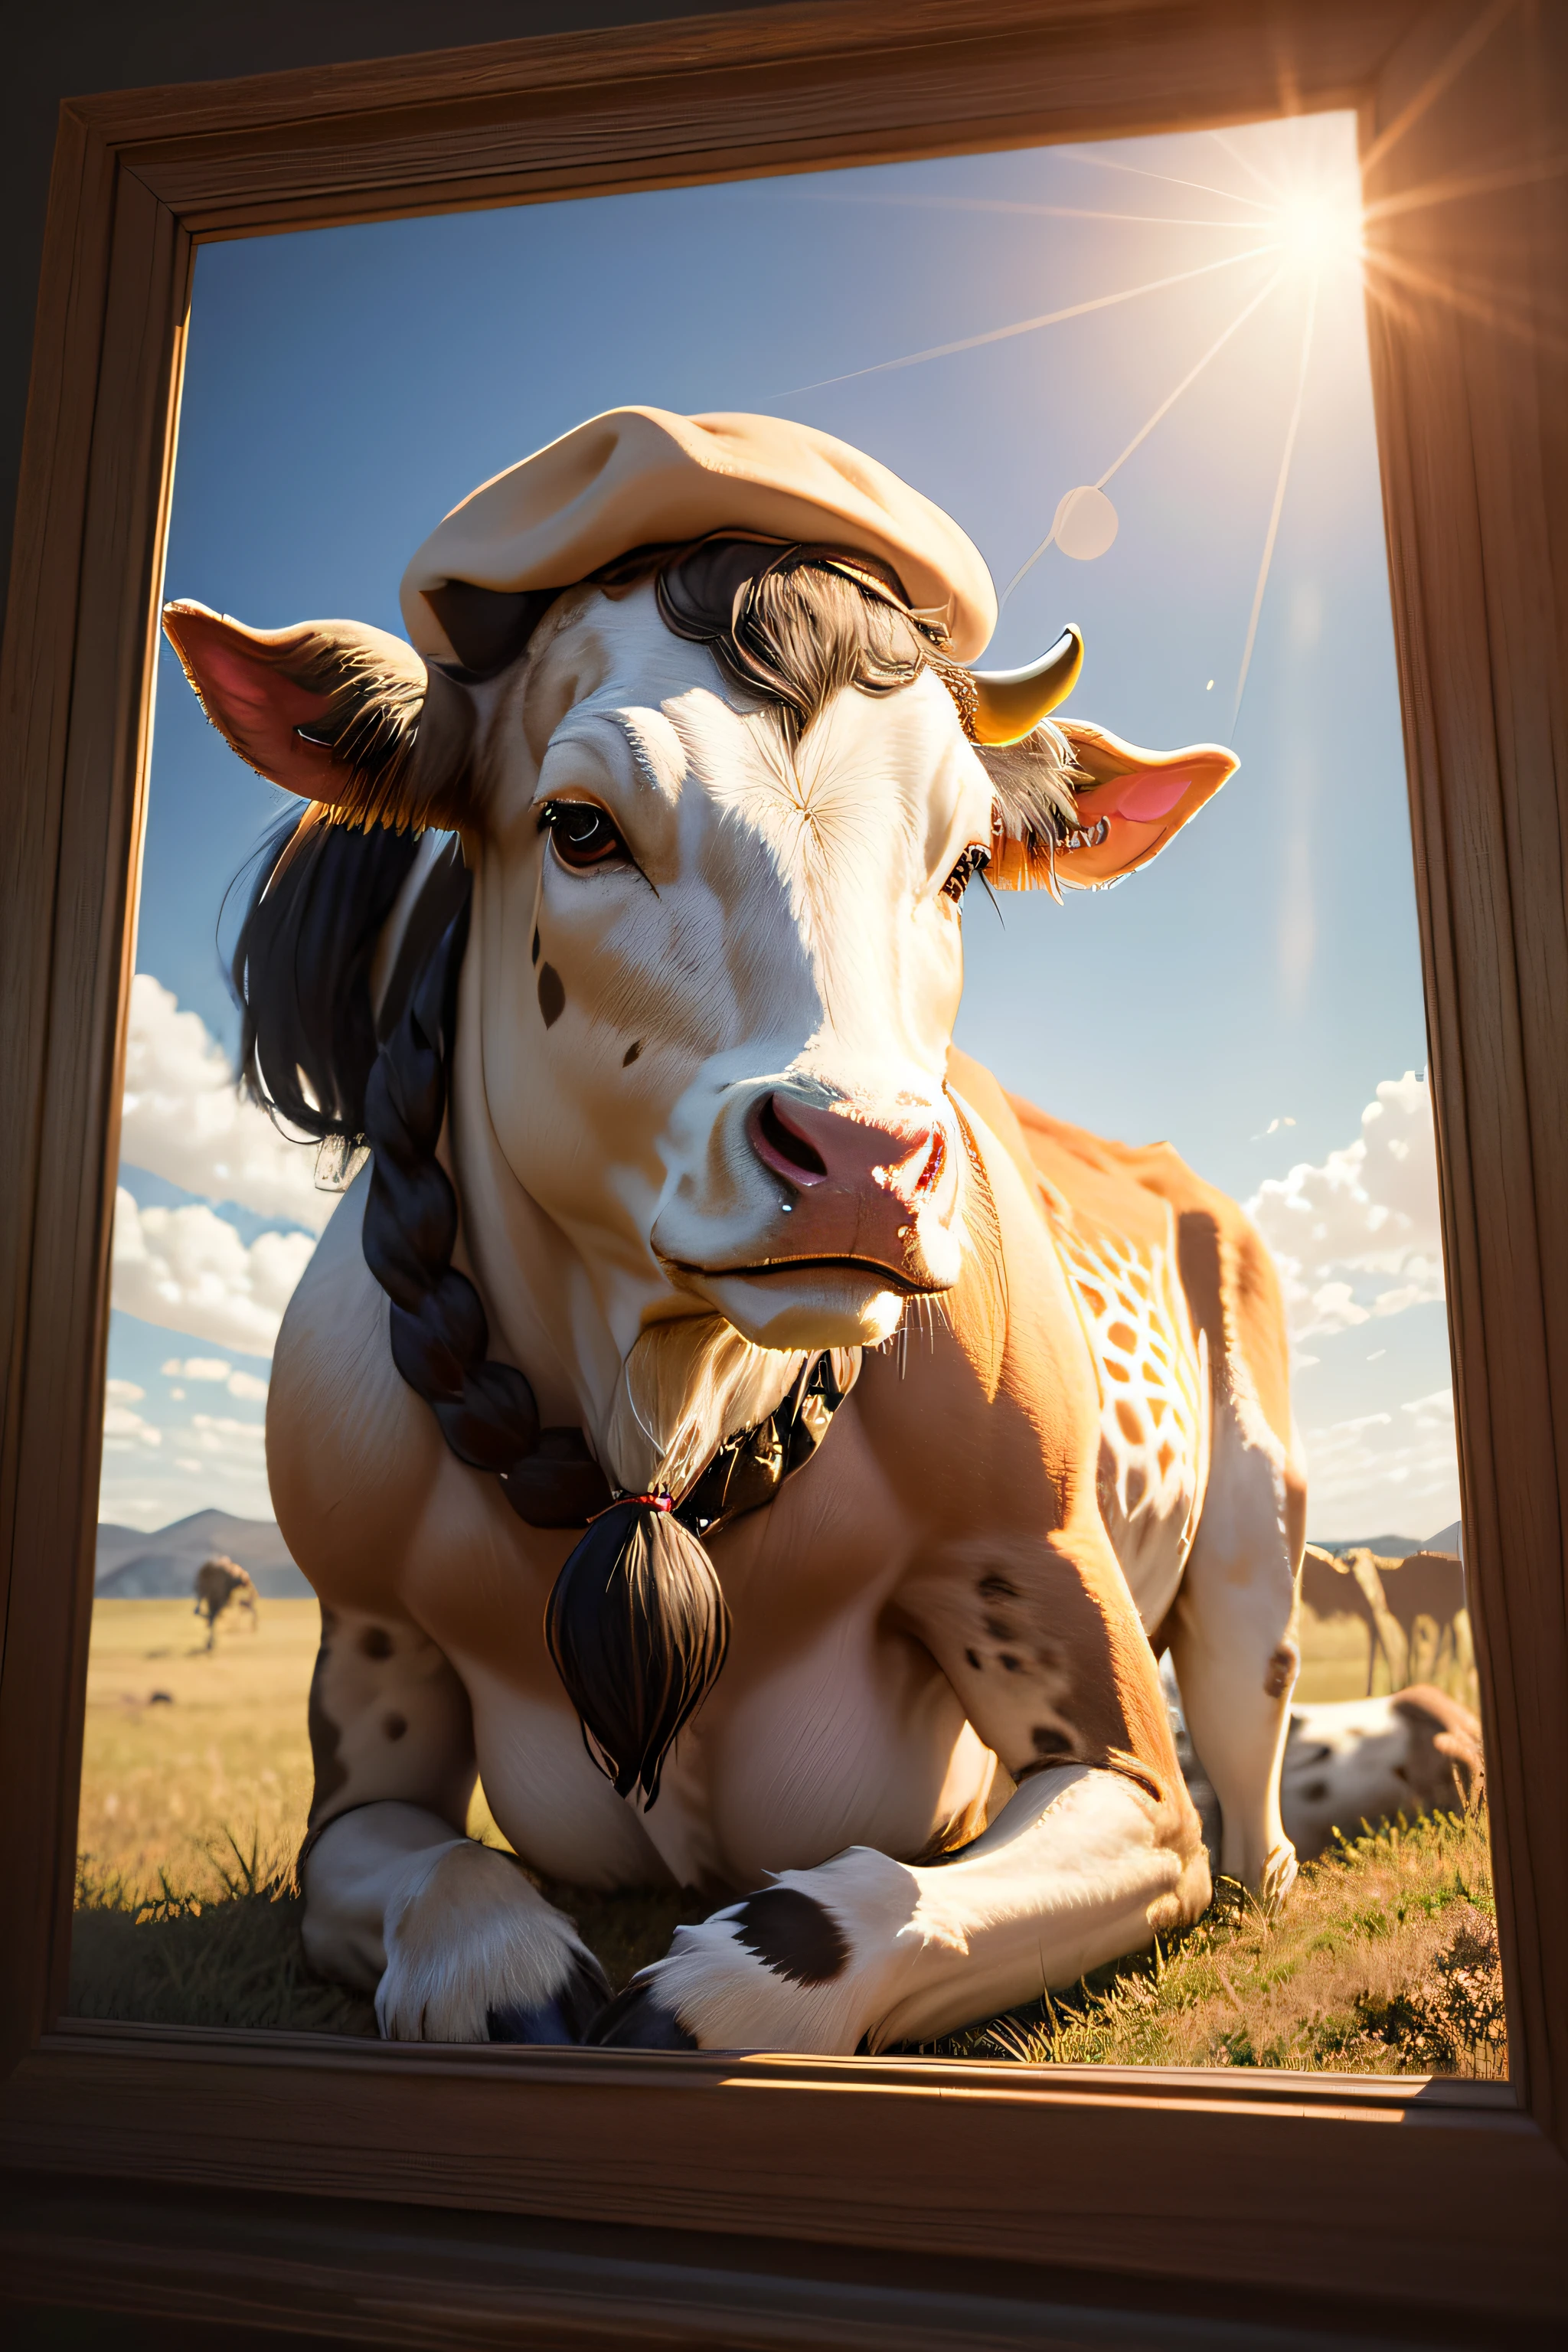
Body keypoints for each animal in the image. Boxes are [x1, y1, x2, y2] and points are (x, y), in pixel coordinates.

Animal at [159, 409, 1316, 2060]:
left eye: (963, 862)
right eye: (579, 826)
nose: (867, 1161)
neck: (659, 1401)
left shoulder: (1096, 1715)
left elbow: (850, 1910)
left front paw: (696, 2000)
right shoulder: (360, 1673)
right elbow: (427, 1875)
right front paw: (504, 1972)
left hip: (1254, 1531)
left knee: (1239, 1718)